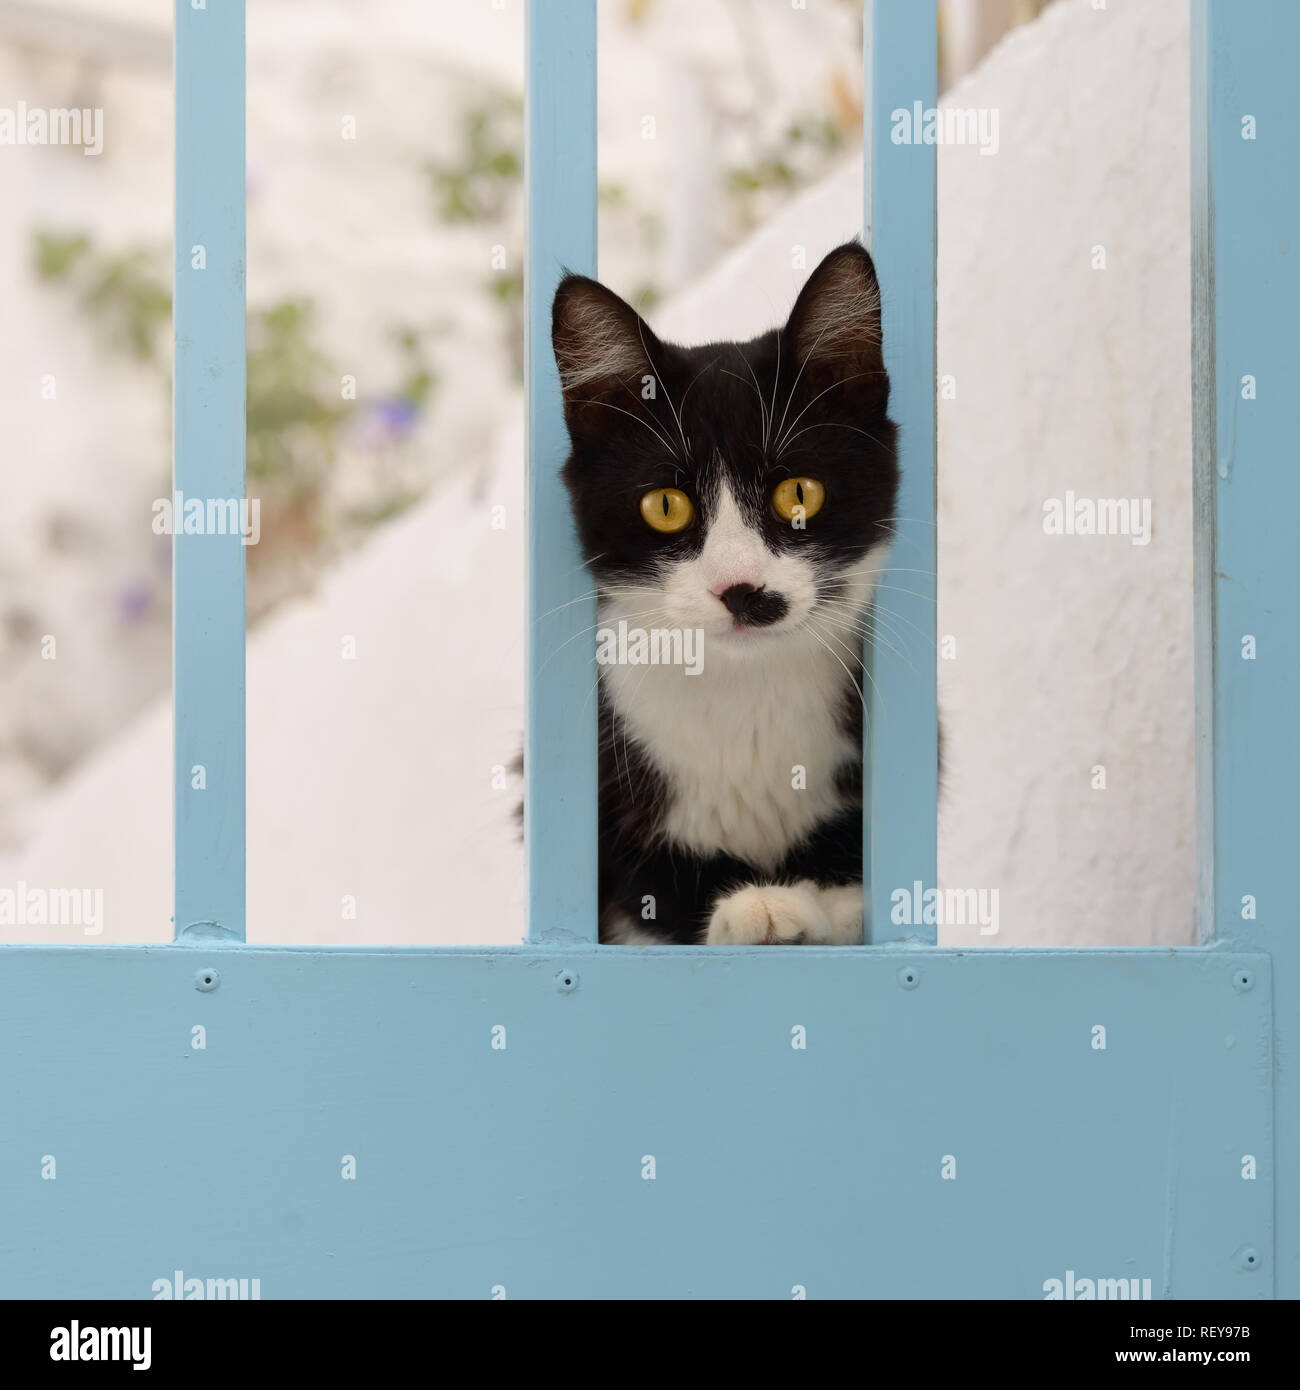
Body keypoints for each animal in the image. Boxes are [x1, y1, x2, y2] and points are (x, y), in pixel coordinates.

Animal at [553, 244, 900, 950]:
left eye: (799, 493)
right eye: (665, 506)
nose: (741, 589)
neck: (747, 691)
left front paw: (819, 903)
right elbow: (647, 891)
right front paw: (755, 907)